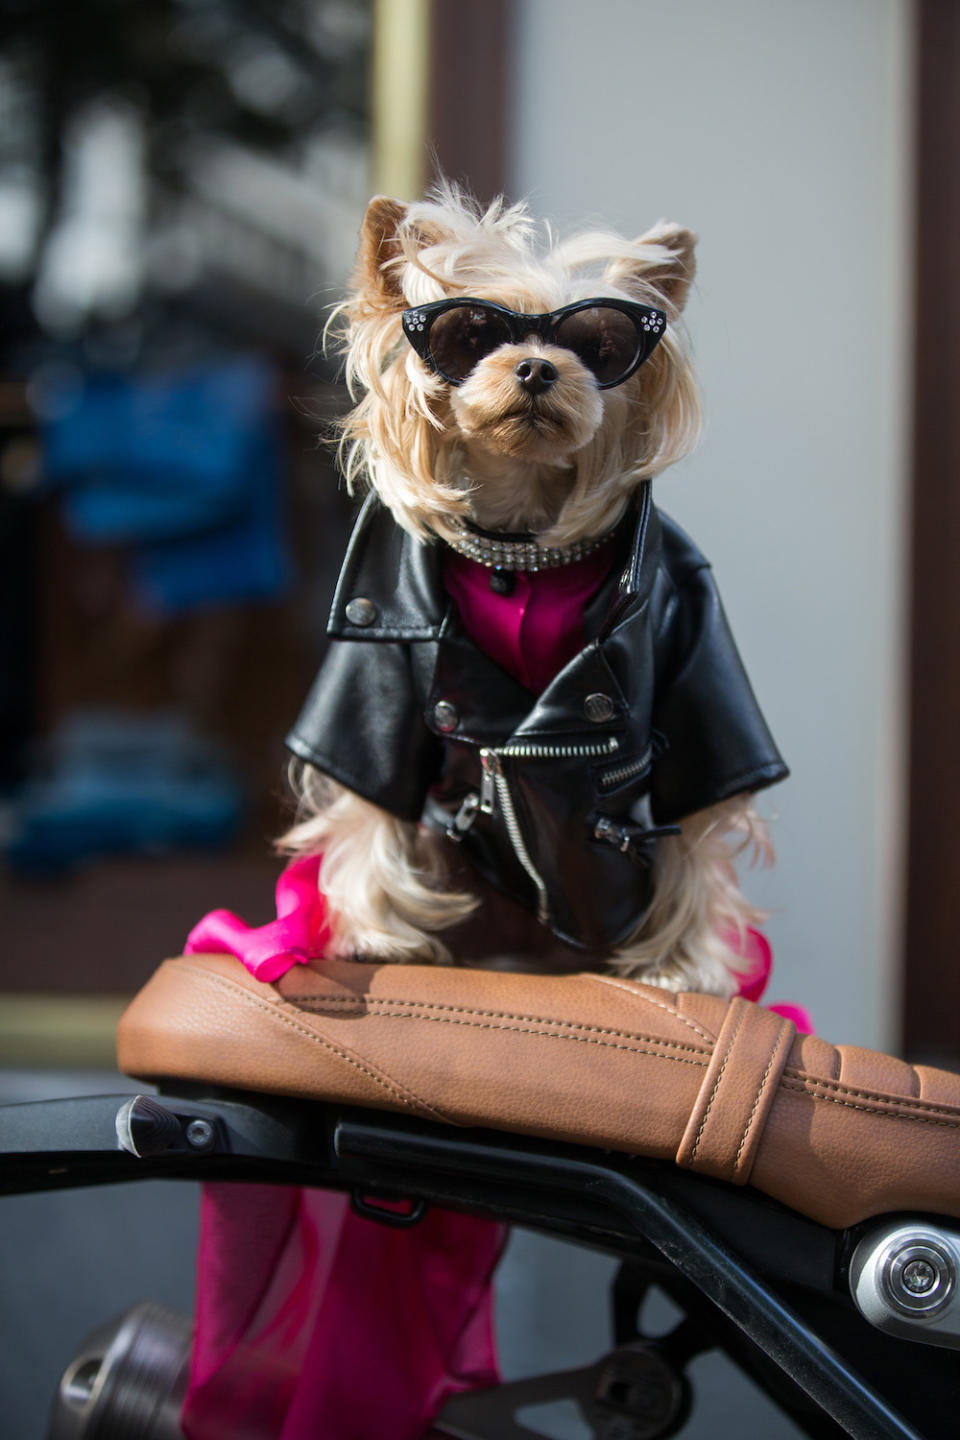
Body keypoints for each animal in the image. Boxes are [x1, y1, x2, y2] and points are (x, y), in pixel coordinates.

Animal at [279, 185, 788, 996]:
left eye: (599, 347)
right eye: (471, 334)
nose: (537, 369)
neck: (521, 544)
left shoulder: (694, 634)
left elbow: (702, 813)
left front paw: (688, 966)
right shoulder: (375, 657)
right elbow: (369, 791)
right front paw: (374, 935)